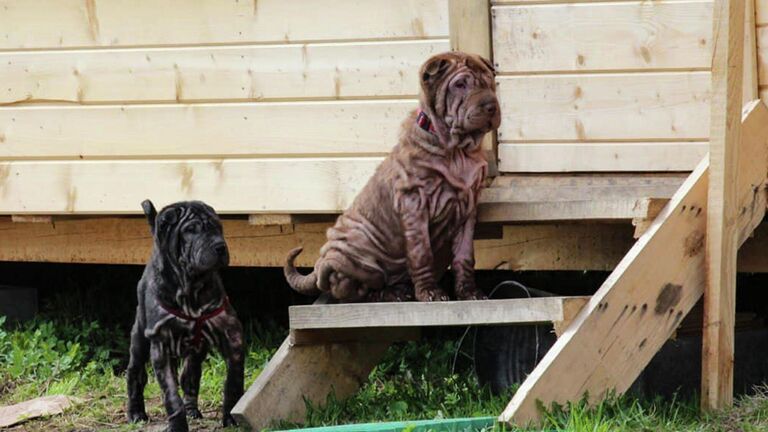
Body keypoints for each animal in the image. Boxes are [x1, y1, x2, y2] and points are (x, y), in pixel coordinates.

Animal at [127, 201, 243, 430]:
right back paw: (136, 413)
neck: (191, 287)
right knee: (135, 373)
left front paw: (232, 417)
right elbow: (171, 396)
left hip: (195, 351)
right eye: (191, 230)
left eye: (218, 227)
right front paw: (178, 425)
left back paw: (192, 410)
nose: (220, 246)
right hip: (140, 339)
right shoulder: (160, 345)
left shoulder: (232, 334)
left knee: (189, 375)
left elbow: (234, 382)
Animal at [284, 50, 500, 302]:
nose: (491, 106)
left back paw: (400, 290)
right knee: (351, 291)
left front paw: (469, 292)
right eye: (460, 85)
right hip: (349, 259)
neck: (457, 151)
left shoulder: (467, 208)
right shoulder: (414, 204)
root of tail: (319, 264)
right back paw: (390, 294)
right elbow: (421, 253)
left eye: (489, 81)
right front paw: (430, 293)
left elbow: (465, 255)